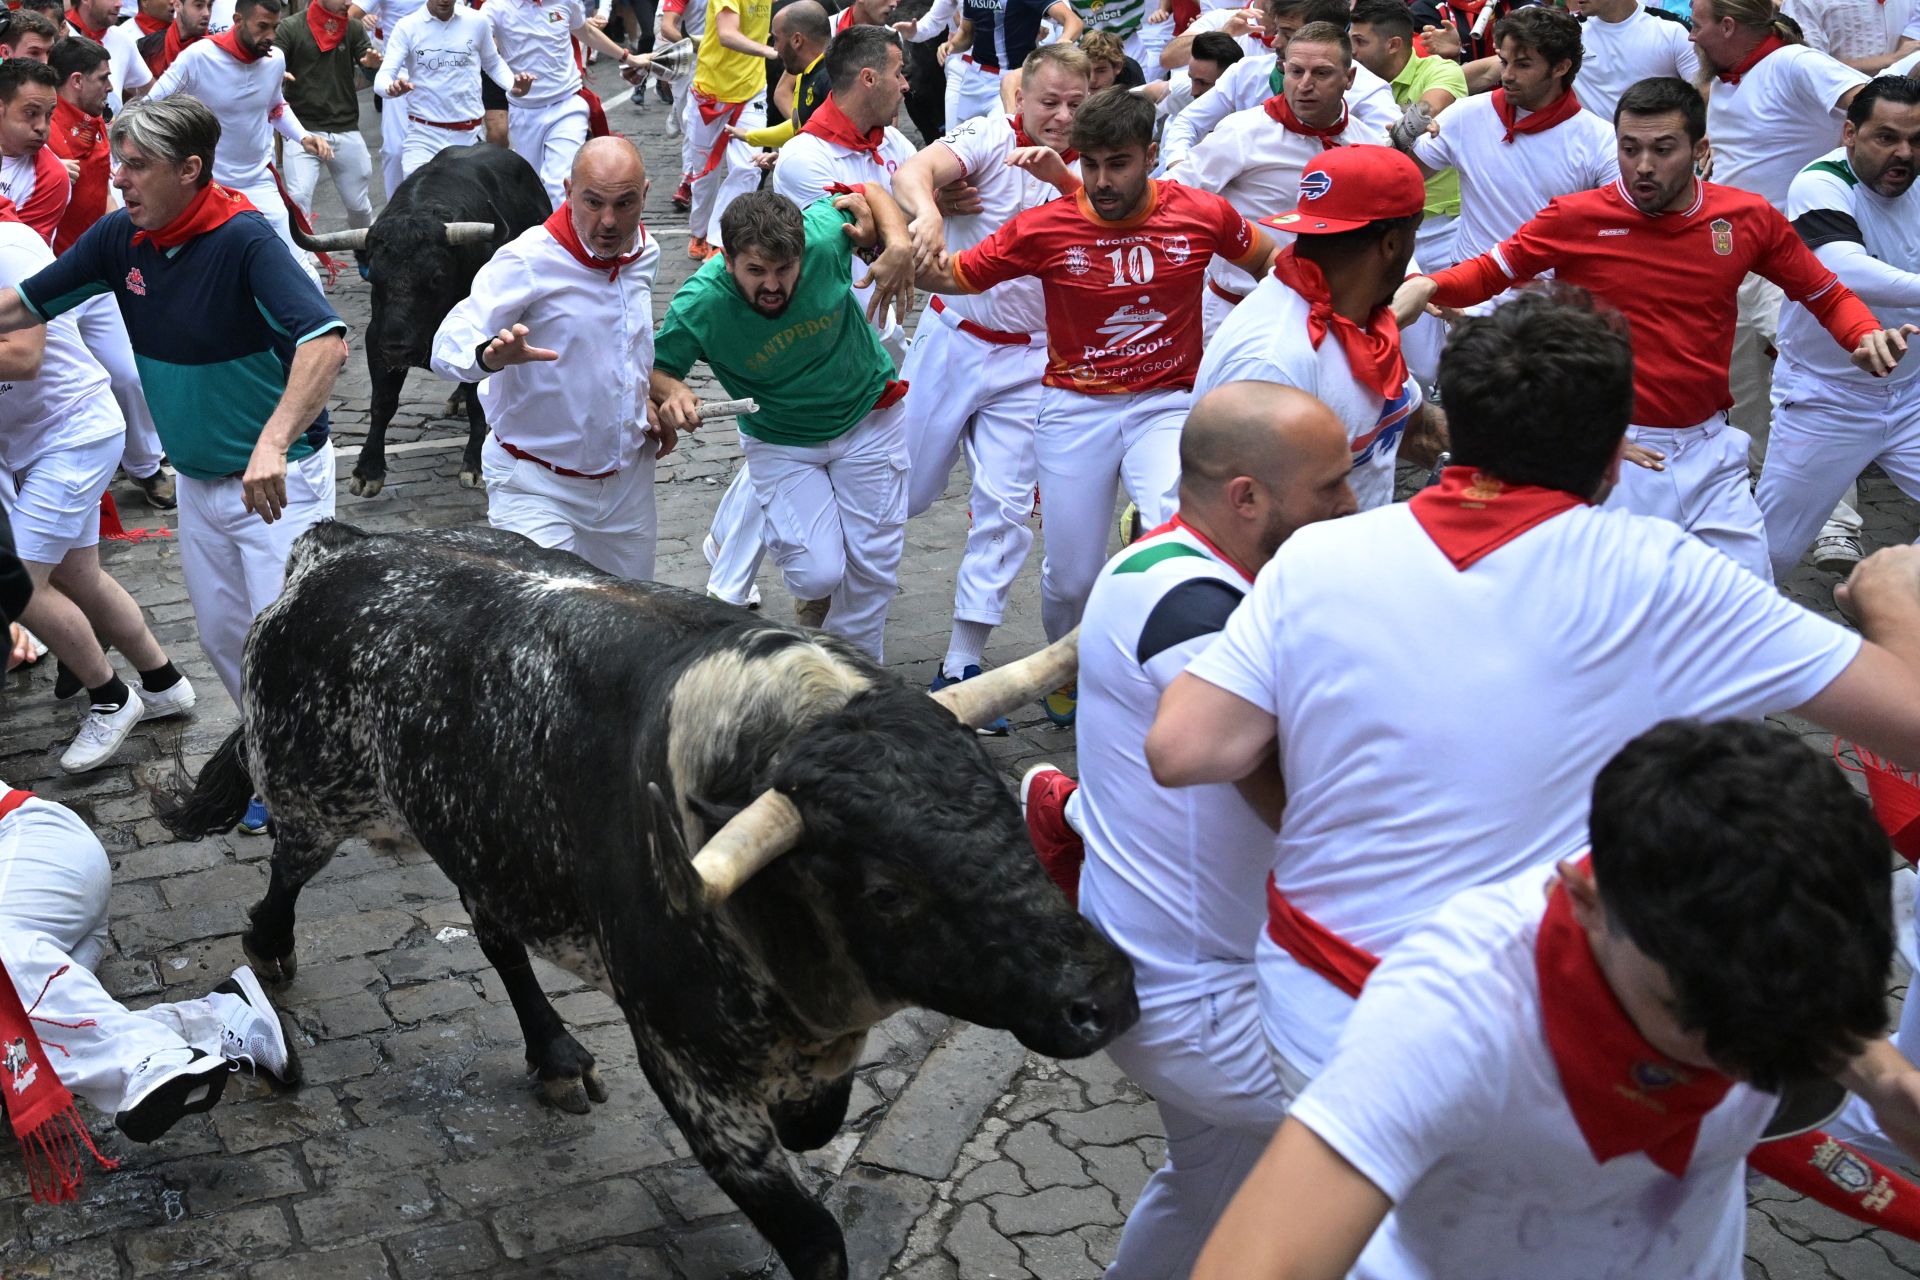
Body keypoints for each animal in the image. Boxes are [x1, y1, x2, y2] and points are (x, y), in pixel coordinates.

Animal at [165, 521, 1136, 1280]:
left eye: (1005, 807)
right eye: (888, 891)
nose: (1103, 999)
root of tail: (334, 549)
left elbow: (818, 1124)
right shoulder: (686, 1065)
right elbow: (815, 1238)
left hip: (487, 841)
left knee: (496, 935)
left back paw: (554, 1052)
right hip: (317, 793)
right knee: (290, 866)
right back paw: (270, 945)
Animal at [288, 144, 552, 495]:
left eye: (436, 277)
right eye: (374, 278)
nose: (398, 349)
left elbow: (478, 400)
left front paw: (474, 464)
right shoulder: (376, 338)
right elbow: (382, 401)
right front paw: (368, 470)